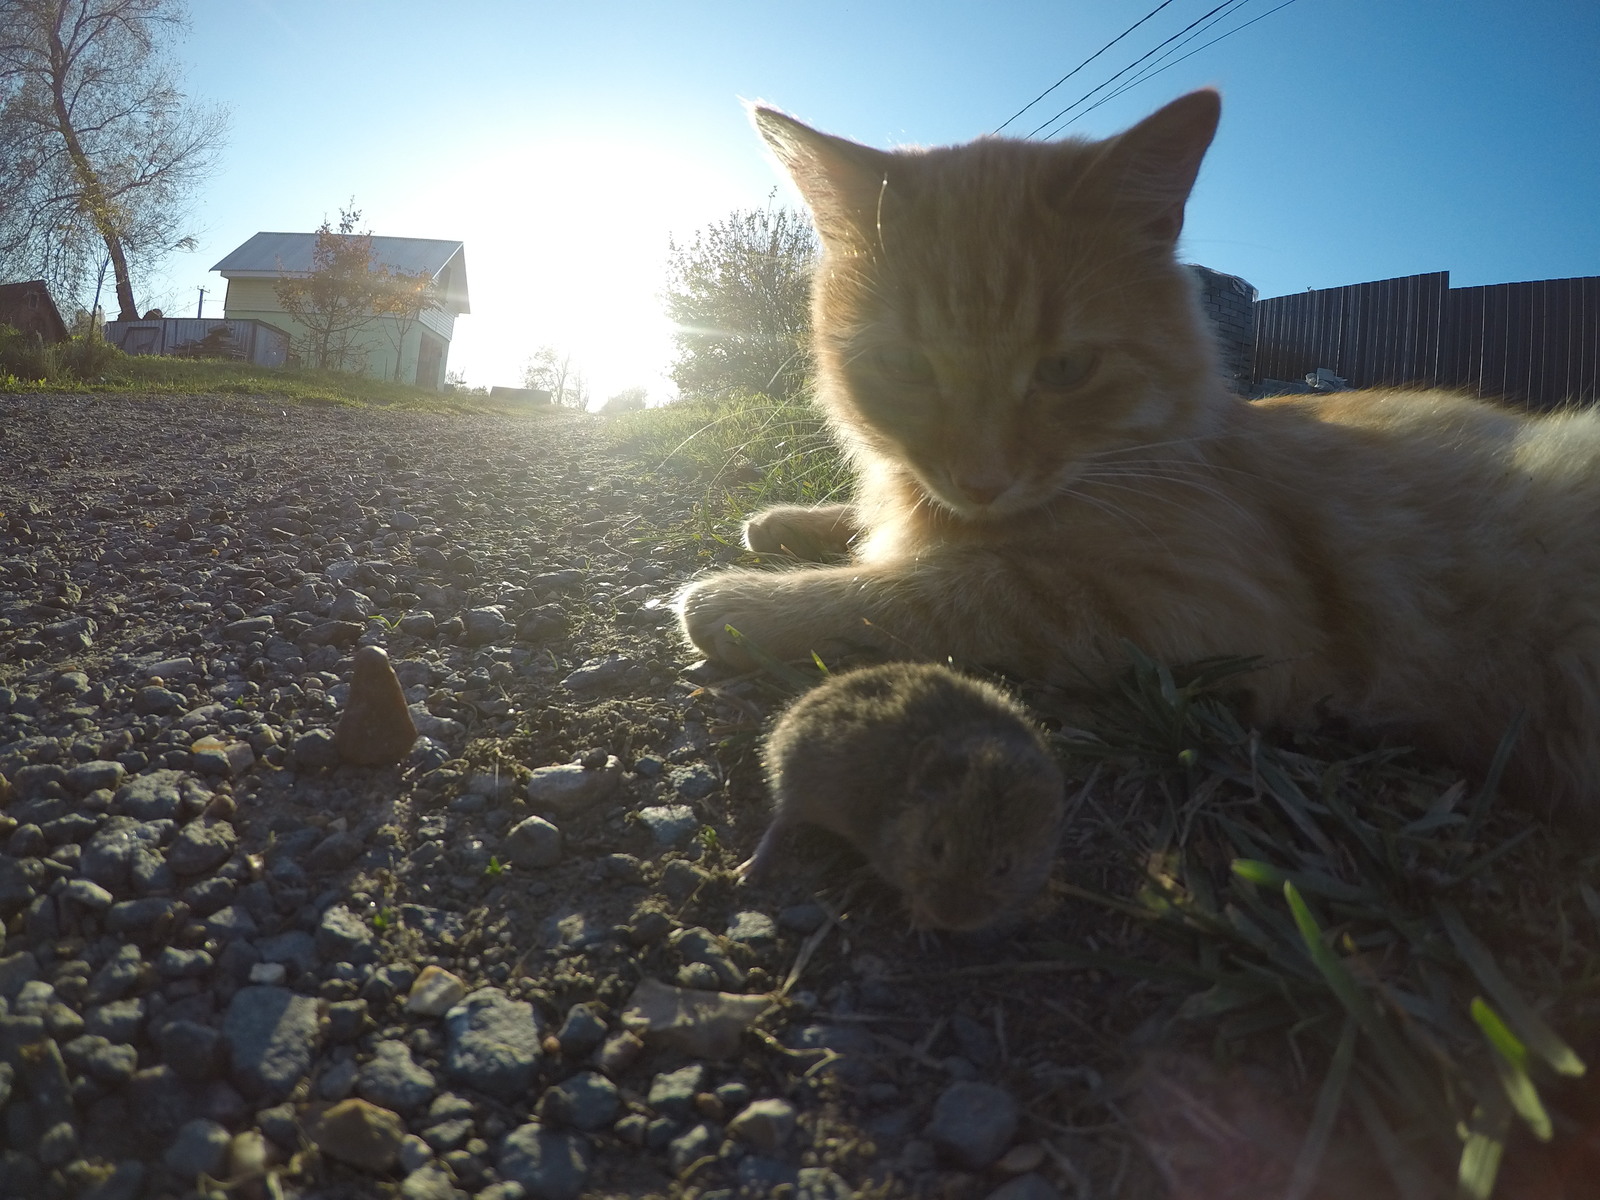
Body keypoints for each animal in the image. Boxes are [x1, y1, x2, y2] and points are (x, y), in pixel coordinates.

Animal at [681, 94, 1600, 825]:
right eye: (907, 365)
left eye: (1064, 369)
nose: (982, 480)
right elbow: (882, 521)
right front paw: (788, 522)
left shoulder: (1200, 606)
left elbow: (933, 589)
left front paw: (743, 601)